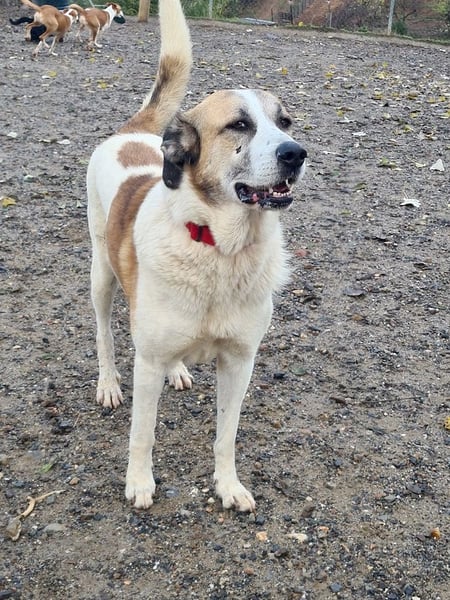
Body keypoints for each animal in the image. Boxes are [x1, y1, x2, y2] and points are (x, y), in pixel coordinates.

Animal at [87, 0, 307, 511]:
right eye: (239, 125)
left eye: (284, 122)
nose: (296, 153)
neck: (221, 251)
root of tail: (133, 131)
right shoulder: (146, 363)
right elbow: (142, 433)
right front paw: (139, 483)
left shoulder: (240, 362)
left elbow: (226, 435)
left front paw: (228, 486)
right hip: (101, 275)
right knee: (105, 335)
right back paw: (108, 383)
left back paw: (180, 369)